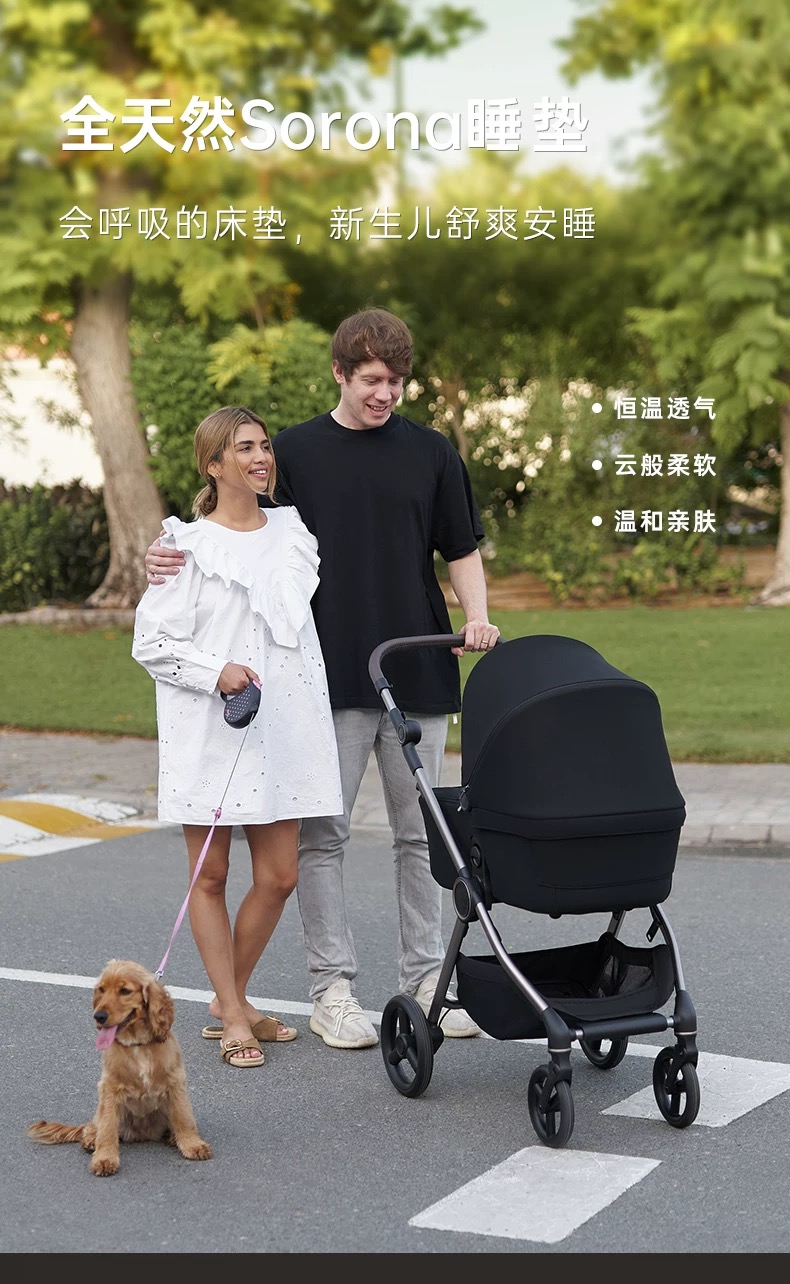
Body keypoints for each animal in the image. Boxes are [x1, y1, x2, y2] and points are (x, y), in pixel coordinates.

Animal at [27, 959, 212, 1176]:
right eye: (101, 989)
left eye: (124, 991)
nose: (98, 1016)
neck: (137, 1045)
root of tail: (142, 1135)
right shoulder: (109, 1088)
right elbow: (107, 1127)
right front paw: (104, 1159)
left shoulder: (175, 1082)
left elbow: (184, 1117)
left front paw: (193, 1145)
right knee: (93, 1125)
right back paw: (91, 1139)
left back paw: (174, 1137)